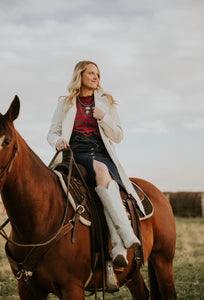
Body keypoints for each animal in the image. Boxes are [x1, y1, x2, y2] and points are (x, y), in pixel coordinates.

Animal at [0, 97, 176, 298]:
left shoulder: (72, 287)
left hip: (163, 260)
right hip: (133, 271)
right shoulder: (28, 288)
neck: (41, 218)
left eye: (6, 141)